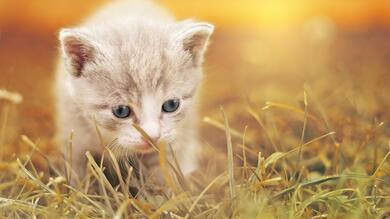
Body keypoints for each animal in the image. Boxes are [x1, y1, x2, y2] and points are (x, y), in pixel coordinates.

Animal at [54, 0, 213, 185]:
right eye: (121, 111)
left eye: (171, 105)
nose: (152, 137)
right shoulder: (74, 129)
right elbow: (77, 165)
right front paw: (77, 186)